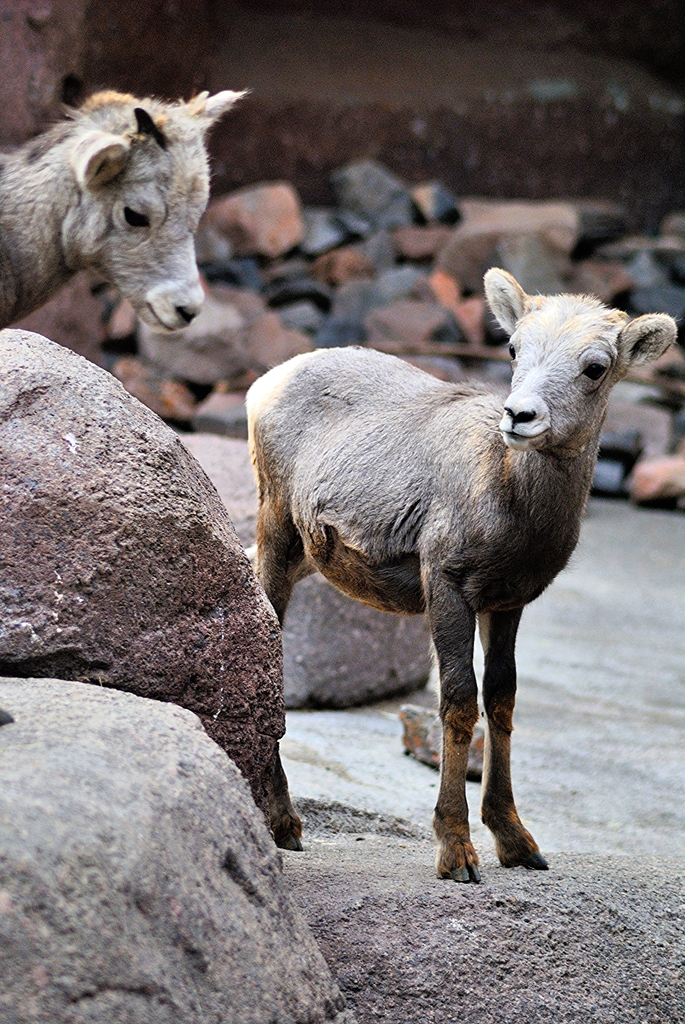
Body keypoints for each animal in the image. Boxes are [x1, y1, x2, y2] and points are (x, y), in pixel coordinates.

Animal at [246, 268, 676, 882]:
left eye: (595, 367)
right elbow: (457, 702)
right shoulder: (447, 586)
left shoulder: (508, 601)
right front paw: (457, 852)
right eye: (514, 348)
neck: (510, 498)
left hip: (305, 556)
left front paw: (517, 843)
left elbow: (501, 700)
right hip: (277, 534)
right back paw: (284, 824)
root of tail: (270, 382)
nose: (520, 416)